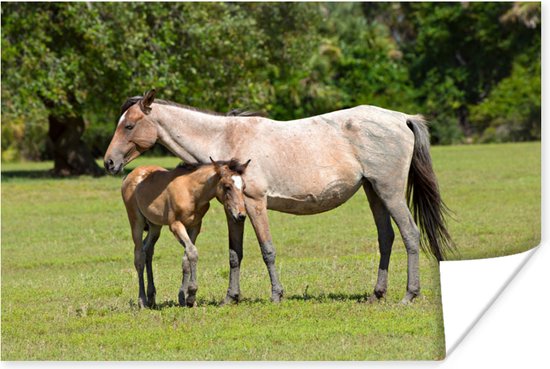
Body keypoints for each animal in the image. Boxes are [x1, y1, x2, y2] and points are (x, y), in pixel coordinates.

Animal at [105, 88, 454, 302]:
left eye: (130, 125)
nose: (109, 162)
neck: (226, 137)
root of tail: (402, 118)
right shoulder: (234, 210)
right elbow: (235, 254)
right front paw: (231, 297)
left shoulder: (255, 203)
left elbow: (267, 250)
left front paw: (276, 294)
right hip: (374, 192)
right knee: (386, 237)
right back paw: (377, 293)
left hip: (389, 190)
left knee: (410, 235)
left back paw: (409, 294)